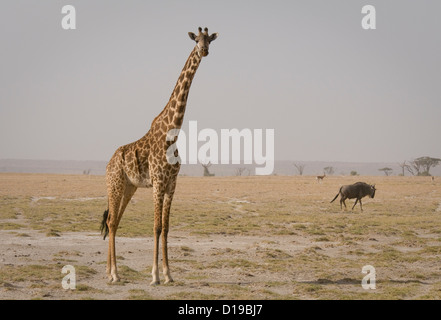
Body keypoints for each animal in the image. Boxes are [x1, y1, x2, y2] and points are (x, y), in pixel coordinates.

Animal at [99, 26, 217, 284]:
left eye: (209, 40)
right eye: (196, 40)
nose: (204, 51)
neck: (172, 133)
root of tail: (108, 163)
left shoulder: (172, 184)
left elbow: (166, 227)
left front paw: (168, 275)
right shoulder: (158, 183)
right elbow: (155, 226)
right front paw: (154, 276)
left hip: (129, 187)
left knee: (115, 222)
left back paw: (111, 272)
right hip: (114, 184)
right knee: (111, 221)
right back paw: (114, 274)